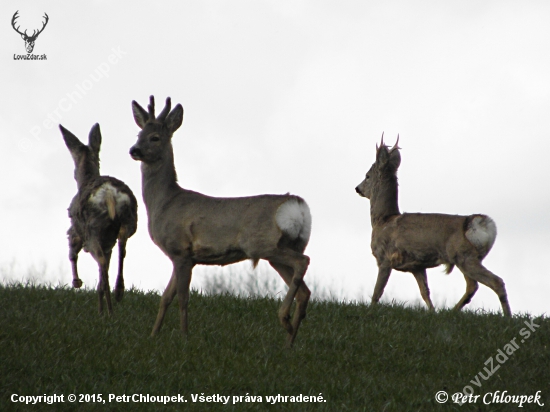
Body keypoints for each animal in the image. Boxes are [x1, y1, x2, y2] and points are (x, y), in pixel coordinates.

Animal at [59, 124, 138, 314]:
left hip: (93, 230)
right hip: (129, 221)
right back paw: (118, 293)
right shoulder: (108, 241)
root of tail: (109, 194)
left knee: (101, 261)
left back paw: (108, 310)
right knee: (121, 250)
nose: (74, 174)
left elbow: (72, 253)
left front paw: (76, 282)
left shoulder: (75, 231)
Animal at [127, 95, 312, 346]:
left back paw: (283, 318)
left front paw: (184, 337)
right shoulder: (182, 256)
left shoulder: (181, 250)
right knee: (304, 290)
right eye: (139, 134)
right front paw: (153, 334)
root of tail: (297, 206)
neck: (165, 202)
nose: (134, 150)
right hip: (285, 248)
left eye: (155, 137)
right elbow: (166, 296)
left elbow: (182, 298)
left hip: (261, 244)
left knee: (304, 262)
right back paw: (289, 342)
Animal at [358, 135, 512, 316]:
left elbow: (377, 291)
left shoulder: (384, 257)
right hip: (466, 257)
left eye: (367, 176)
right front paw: (433, 312)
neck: (383, 220)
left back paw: (507, 317)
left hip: (464, 256)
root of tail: (479, 222)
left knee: (496, 282)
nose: (357, 188)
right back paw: (452, 312)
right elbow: (425, 292)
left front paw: (370, 310)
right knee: (472, 286)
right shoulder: (417, 266)